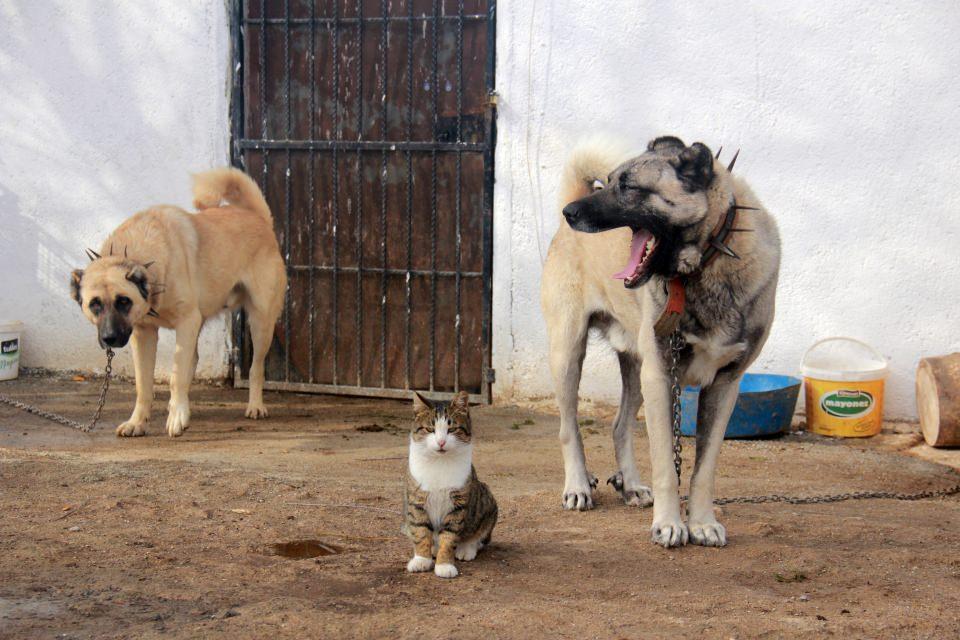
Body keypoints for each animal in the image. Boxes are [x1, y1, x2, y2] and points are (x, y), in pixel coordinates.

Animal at [71, 168, 284, 438]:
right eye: (94, 304)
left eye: (124, 301)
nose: (109, 338)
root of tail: (259, 218)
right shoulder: (144, 333)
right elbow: (144, 384)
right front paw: (137, 422)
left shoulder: (186, 322)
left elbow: (176, 377)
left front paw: (176, 418)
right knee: (191, 361)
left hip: (260, 322)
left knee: (256, 367)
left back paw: (255, 406)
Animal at [402, 392, 498, 576]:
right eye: (430, 429)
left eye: (452, 429)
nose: (441, 442)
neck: (439, 462)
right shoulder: (417, 500)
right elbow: (421, 531)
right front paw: (421, 560)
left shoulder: (458, 504)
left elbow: (449, 536)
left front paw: (444, 565)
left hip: (486, 499)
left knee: (480, 536)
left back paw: (466, 548)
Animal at [540, 135, 780, 544]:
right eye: (610, 180)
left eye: (630, 187)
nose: (570, 212)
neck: (704, 267)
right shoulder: (661, 378)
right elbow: (667, 465)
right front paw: (669, 524)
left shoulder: (724, 386)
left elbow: (703, 471)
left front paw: (701, 522)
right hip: (568, 354)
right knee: (567, 428)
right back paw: (578, 485)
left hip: (636, 369)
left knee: (619, 425)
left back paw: (631, 485)